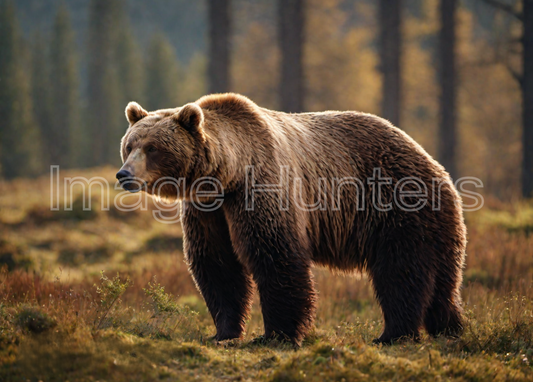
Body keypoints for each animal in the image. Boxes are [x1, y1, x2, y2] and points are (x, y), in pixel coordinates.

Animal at [117, 92, 466, 346]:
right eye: (129, 145)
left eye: (153, 148)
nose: (123, 174)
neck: (227, 175)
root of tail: (434, 163)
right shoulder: (208, 211)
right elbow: (217, 265)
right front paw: (223, 332)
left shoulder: (261, 188)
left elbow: (275, 255)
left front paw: (276, 334)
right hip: (433, 225)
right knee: (441, 283)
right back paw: (452, 328)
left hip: (399, 206)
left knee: (400, 273)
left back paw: (393, 334)